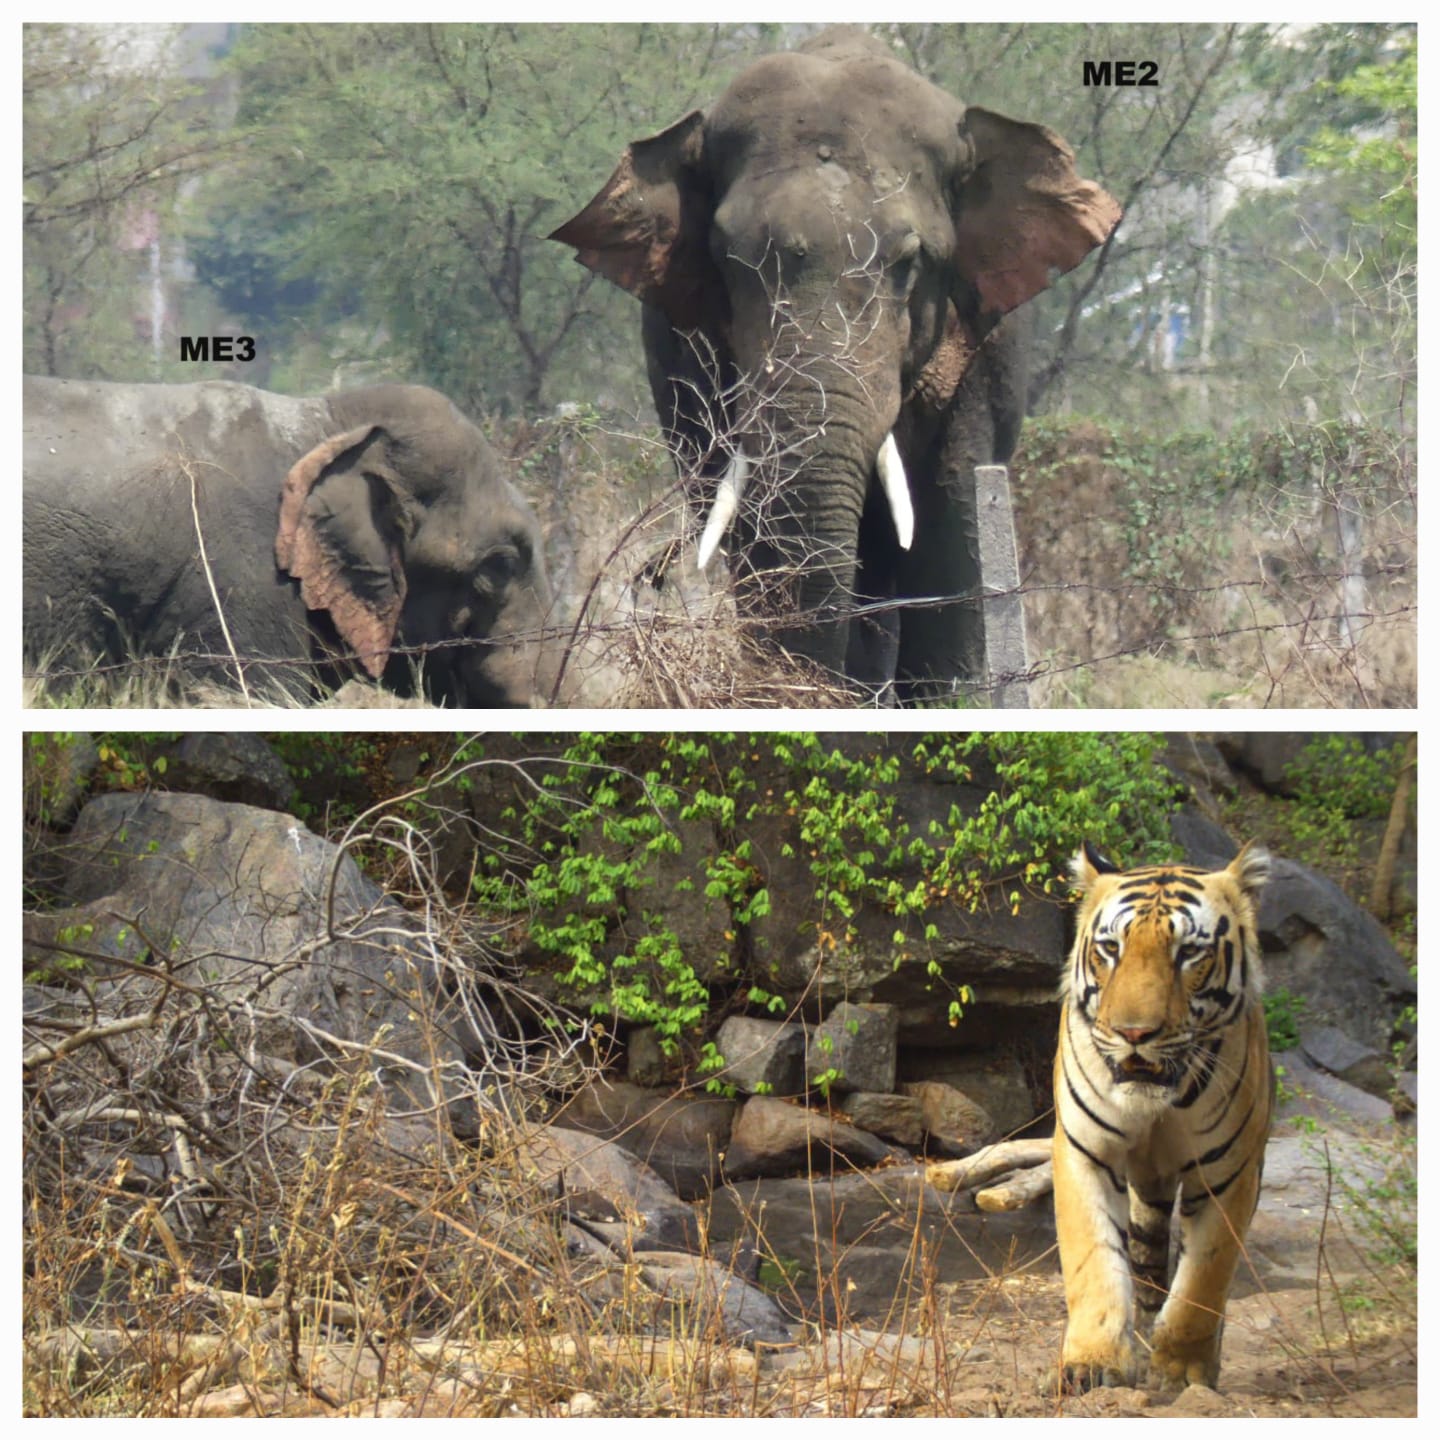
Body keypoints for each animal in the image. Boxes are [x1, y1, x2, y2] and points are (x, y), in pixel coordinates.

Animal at [1048, 840, 1272, 1388]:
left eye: (1189, 952)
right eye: (1111, 948)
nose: (1134, 1033)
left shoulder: (1228, 1174)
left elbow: (1203, 1280)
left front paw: (1184, 1371)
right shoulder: (1085, 1151)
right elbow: (1093, 1261)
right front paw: (1092, 1362)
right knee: (1147, 1265)